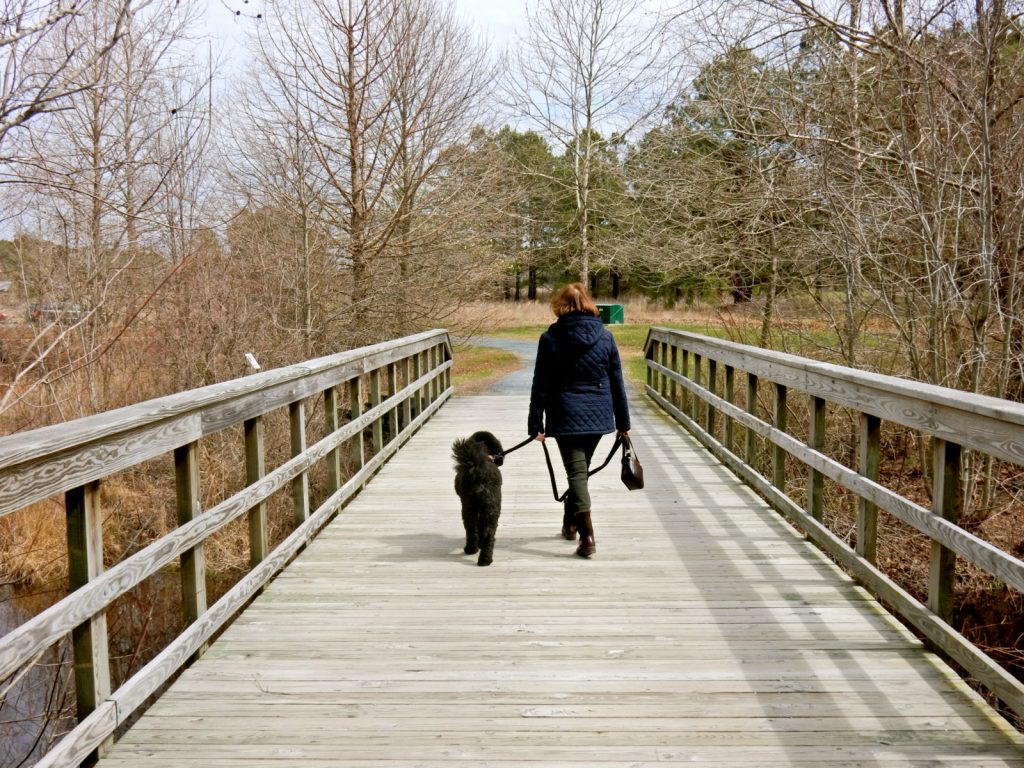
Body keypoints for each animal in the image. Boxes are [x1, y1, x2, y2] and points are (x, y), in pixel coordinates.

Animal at [454, 434, 505, 565]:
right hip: (490, 508)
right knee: (488, 533)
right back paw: (485, 559)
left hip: (470, 508)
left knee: (471, 530)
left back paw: (472, 549)